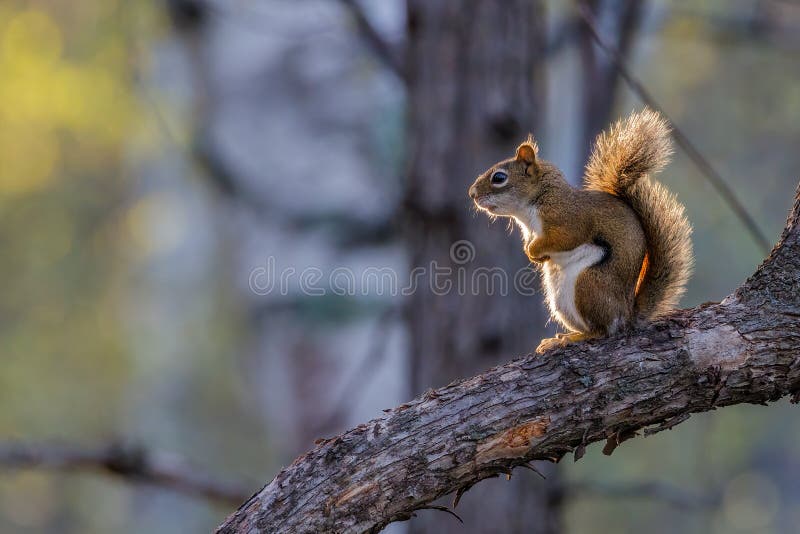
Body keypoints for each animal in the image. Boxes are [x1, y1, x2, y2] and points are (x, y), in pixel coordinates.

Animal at [468, 107, 692, 354]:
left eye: (499, 178)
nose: (472, 193)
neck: (533, 206)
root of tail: (627, 315)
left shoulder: (568, 219)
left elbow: (564, 238)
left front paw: (534, 252)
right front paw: (532, 254)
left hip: (588, 285)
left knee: (603, 330)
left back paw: (574, 338)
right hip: (560, 300)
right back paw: (561, 337)